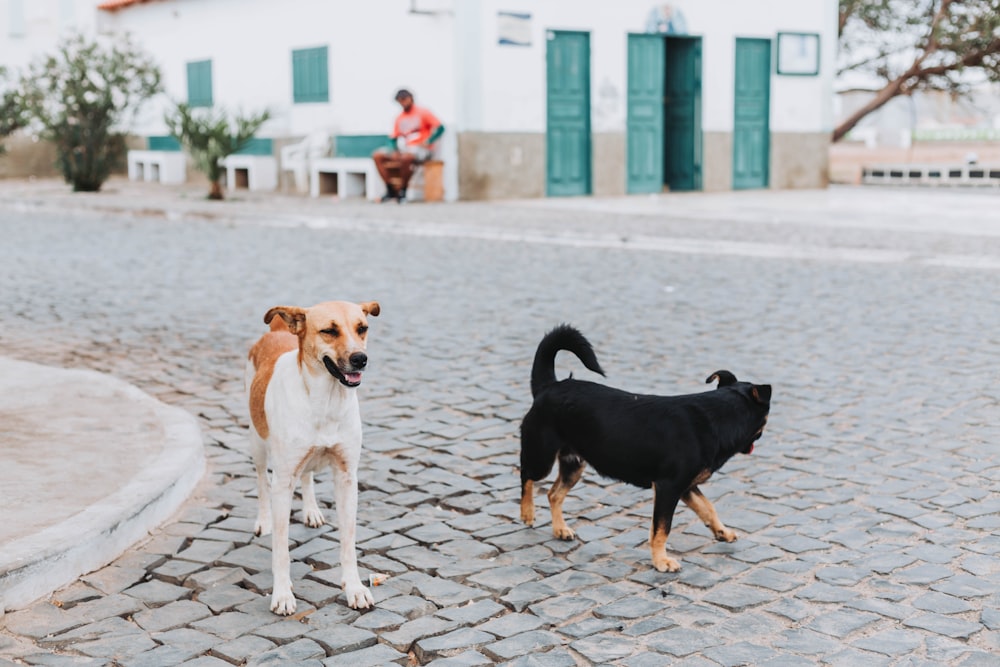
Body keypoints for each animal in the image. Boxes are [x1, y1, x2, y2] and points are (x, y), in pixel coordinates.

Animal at [245, 300, 378, 612]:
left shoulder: (346, 477)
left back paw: (311, 510)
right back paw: (263, 520)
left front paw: (354, 588)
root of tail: (278, 330)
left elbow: (348, 542)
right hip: (257, 444)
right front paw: (282, 594)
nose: (360, 359)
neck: (325, 399)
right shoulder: (282, 483)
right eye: (329, 330)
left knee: (306, 476)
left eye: (362, 328)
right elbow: (281, 549)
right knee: (261, 482)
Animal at [520, 326, 768, 572]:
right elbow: (662, 528)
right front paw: (661, 561)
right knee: (527, 475)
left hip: (573, 464)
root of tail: (550, 386)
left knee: (554, 493)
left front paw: (722, 532)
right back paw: (527, 512)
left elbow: (708, 508)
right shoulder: (668, 488)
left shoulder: (686, 487)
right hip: (542, 455)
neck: (716, 418)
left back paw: (560, 528)